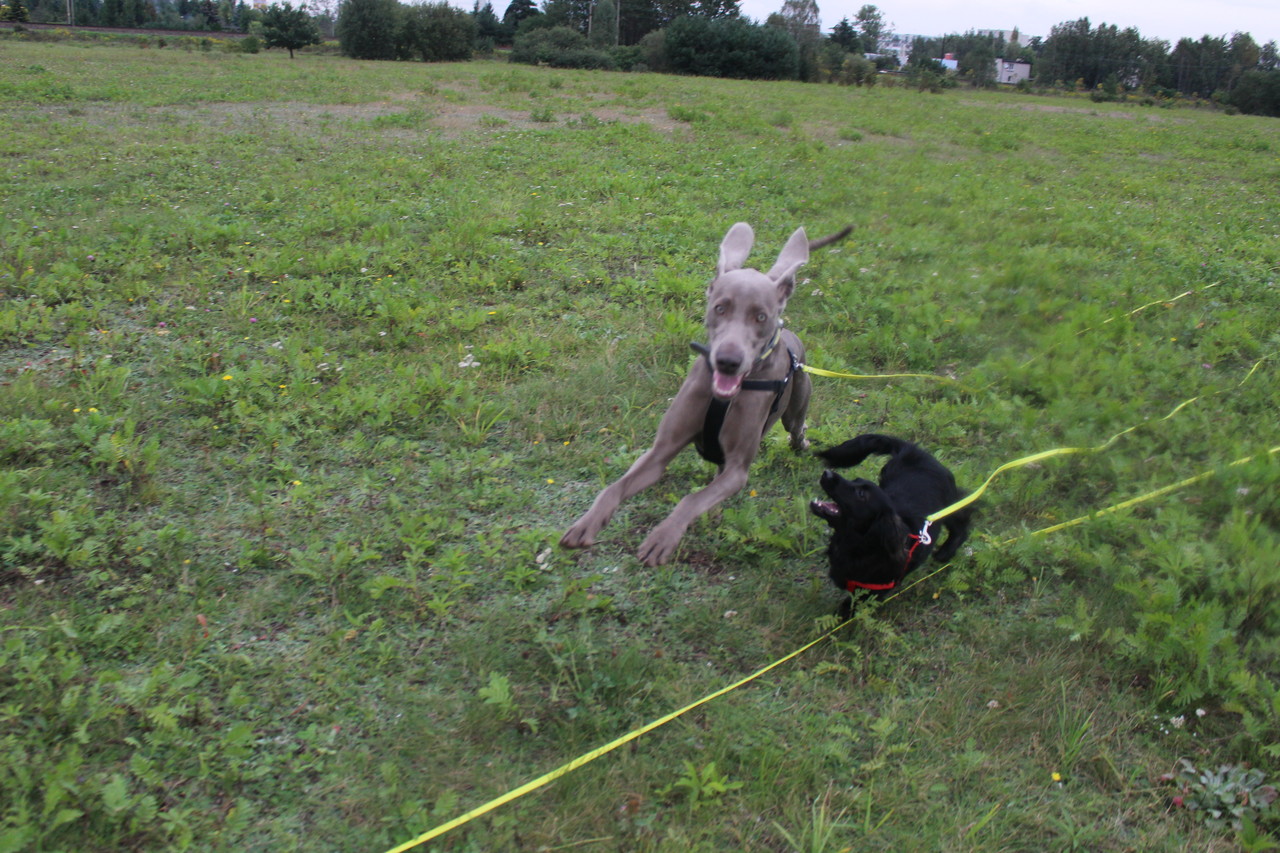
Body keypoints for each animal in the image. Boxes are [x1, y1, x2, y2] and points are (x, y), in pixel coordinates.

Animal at [560, 221, 851, 567]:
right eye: (720, 307)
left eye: (760, 317)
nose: (728, 361)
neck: (722, 397)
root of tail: (791, 334)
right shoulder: (660, 452)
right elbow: (615, 487)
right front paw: (587, 524)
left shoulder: (738, 469)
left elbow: (690, 499)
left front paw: (663, 537)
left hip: (794, 410)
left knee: (796, 430)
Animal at [810, 433, 973, 600]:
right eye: (855, 480)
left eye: (861, 494)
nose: (827, 473)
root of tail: (914, 450)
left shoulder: (871, 593)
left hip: (948, 503)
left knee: (962, 516)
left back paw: (946, 552)